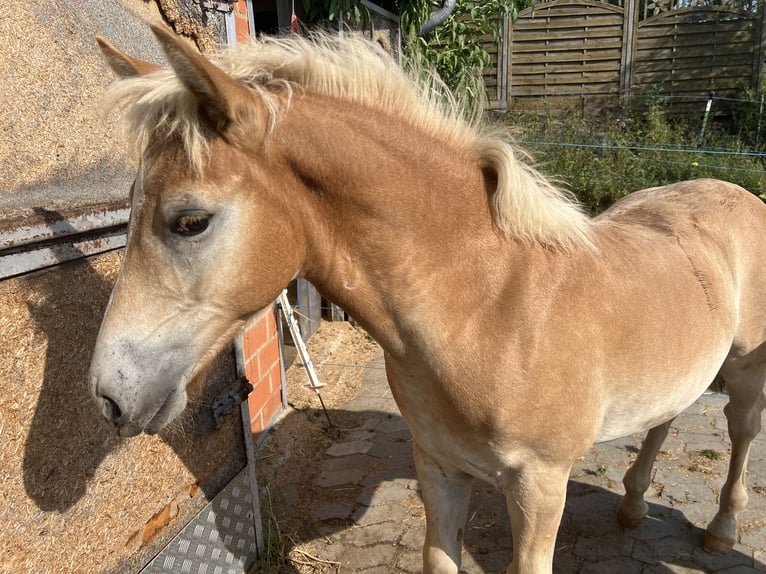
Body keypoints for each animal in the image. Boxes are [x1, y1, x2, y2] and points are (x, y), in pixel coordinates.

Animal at [90, 28, 766, 574]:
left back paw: (720, 531)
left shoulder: (541, 487)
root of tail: (735, 190)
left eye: (190, 221)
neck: (488, 310)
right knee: (667, 414)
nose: (108, 396)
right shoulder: (439, 467)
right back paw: (631, 503)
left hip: (746, 374)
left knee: (740, 433)